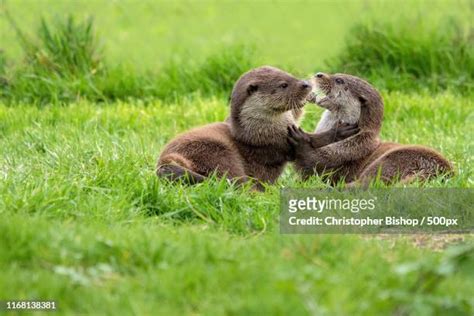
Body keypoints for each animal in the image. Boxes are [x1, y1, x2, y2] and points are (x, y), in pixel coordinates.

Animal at [157, 65, 358, 186]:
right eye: (283, 85)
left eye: (289, 74)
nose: (306, 84)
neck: (259, 130)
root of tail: (165, 159)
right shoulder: (276, 143)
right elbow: (311, 142)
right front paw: (340, 131)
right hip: (216, 151)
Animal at [286, 72, 454, 185]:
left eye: (339, 80)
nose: (319, 74)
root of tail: (440, 170)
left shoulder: (345, 151)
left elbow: (310, 164)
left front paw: (302, 139)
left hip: (389, 160)